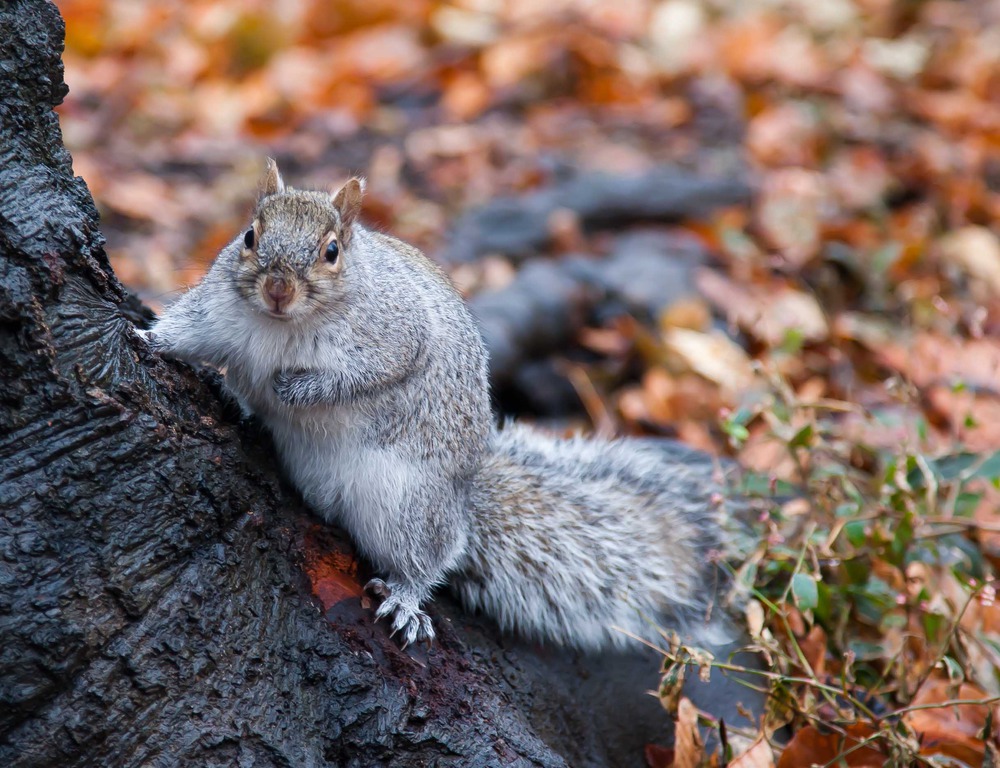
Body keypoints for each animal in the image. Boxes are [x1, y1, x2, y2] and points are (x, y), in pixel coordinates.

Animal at [141, 160, 732, 648]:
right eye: (249, 236)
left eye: (332, 251)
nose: (278, 289)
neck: (281, 326)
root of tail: (463, 498)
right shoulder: (217, 314)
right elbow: (186, 334)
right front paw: (146, 340)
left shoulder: (395, 337)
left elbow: (368, 375)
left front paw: (295, 392)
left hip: (407, 503)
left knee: (428, 557)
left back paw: (406, 598)